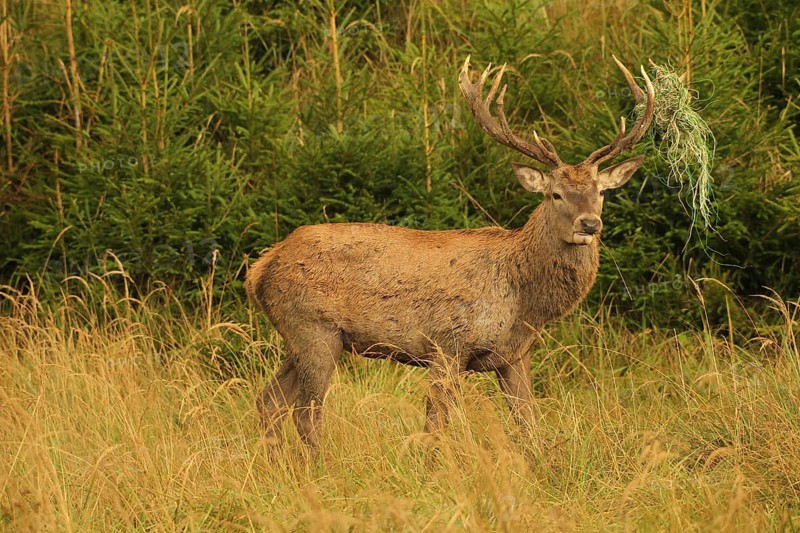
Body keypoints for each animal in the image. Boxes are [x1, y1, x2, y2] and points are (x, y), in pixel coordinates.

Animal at [246, 55, 655, 452]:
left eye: (600, 192)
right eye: (554, 194)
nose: (589, 224)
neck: (523, 299)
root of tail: (260, 269)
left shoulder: (514, 355)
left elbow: (529, 426)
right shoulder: (447, 344)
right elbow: (435, 426)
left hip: (299, 337)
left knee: (269, 401)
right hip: (314, 329)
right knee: (306, 414)